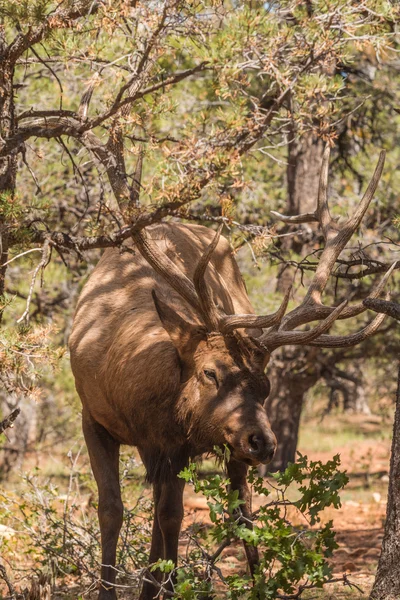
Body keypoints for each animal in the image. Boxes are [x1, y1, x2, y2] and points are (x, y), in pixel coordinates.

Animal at [69, 146, 394, 600]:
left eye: (267, 386)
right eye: (210, 373)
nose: (264, 442)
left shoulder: (178, 442)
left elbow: (171, 515)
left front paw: (167, 584)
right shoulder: (93, 416)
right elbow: (111, 509)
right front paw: (114, 587)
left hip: (223, 448)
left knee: (239, 509)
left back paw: (251, 584)